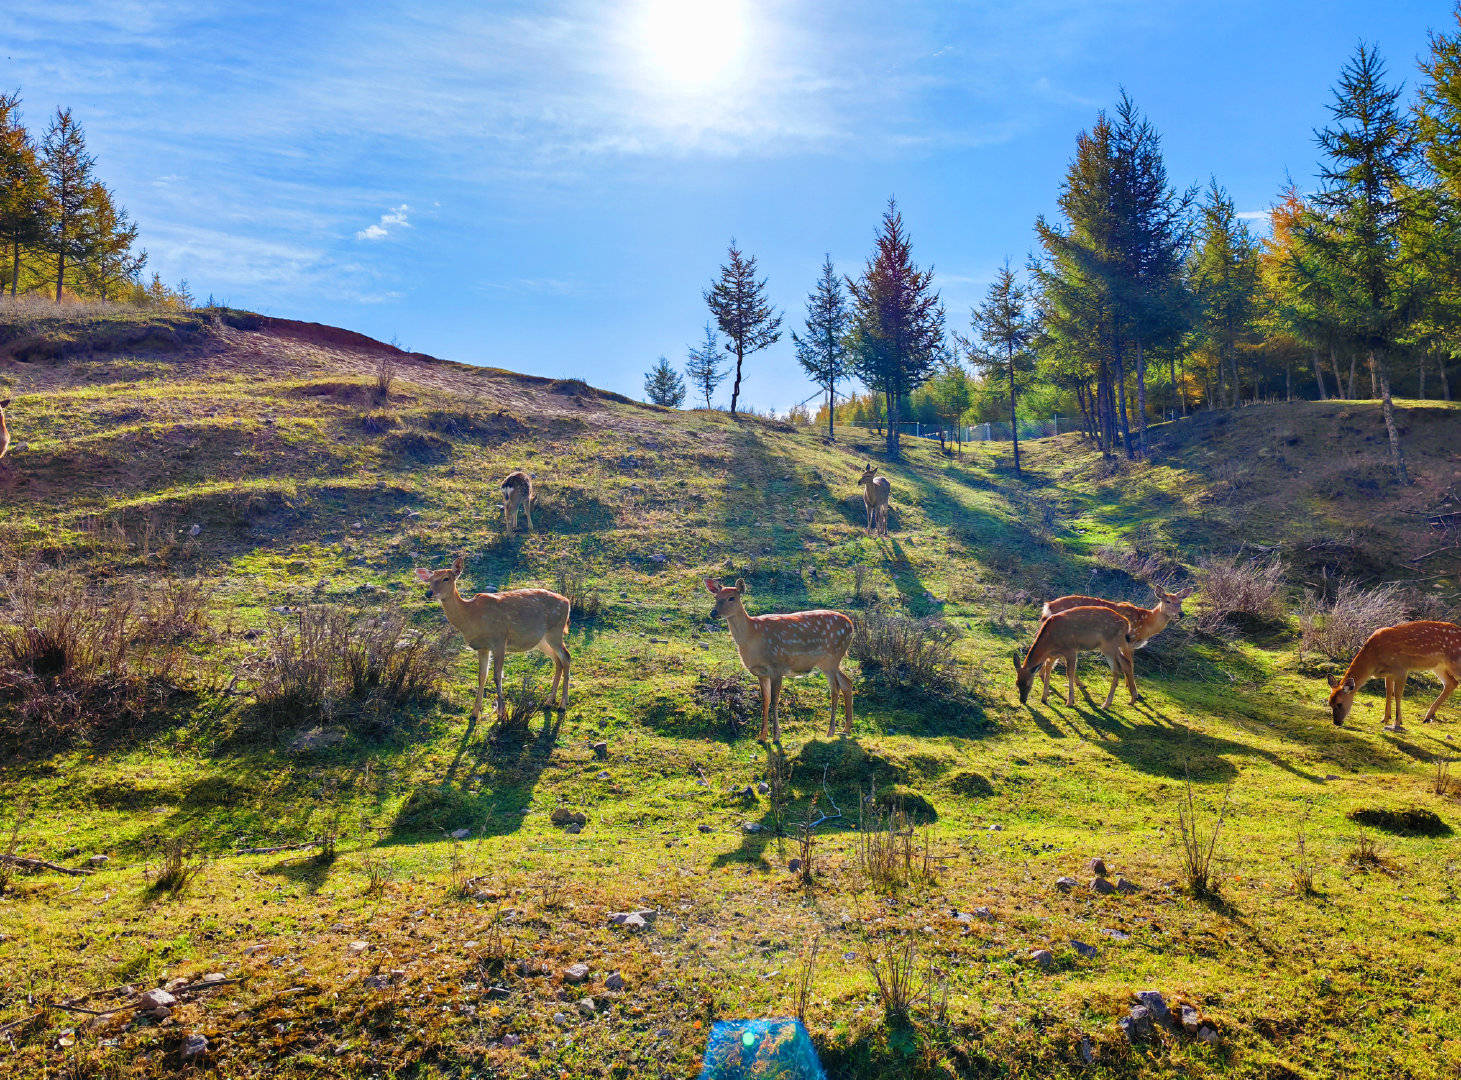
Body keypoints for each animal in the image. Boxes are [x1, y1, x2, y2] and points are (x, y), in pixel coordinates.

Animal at [417, 552, 569, 721]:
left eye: (446, 578)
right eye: (431, 579)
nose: (429, 593)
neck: (470, 616)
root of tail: (567, 601)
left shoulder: (499, 640)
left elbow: (497, 676)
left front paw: (502, 714)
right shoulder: (483, 647)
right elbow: (482, 676)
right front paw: (474, 714)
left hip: (555, 631)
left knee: (566, 657)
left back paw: (562, 705)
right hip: (542, 640)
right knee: (558, 661)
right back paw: (549, 701)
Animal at [701, 575, 853, 742]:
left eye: (731, 598)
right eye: (716, 597)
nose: (713, 613)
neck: (752, 636)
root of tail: (851, 626)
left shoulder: (777, 666)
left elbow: (775, 699)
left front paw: (776, 736)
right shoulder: (761, 672)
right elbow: (765, 700)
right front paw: (762, 736)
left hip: (832, 656)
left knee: (835, 689)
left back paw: (831, 731)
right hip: (830, 662)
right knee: (847, 682)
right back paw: (846, 729)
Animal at [1034, 587, 1192, 689]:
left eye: (1180, 602)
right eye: (1167, 601)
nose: (1181, 614)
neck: (1145, 624)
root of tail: (1048, 606)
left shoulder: (1132, 645)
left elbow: (1130, 664)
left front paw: (1129, 686)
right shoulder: (1128, 639)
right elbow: (1130, 665)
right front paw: (1134, 691)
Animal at [1326, 619, 1461, 730]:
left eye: (1339, 703)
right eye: (1329, 703)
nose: (1336, 722)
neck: (1373, 659)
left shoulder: (1401, 668)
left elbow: (1397, 694)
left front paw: (1397, 722)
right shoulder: (1389, 673)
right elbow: (1388, 692)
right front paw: (1385, 718)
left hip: (1454, 663)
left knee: (1454, 682)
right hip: (1438, 666)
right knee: (1451, 683)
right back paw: (1427, 717)